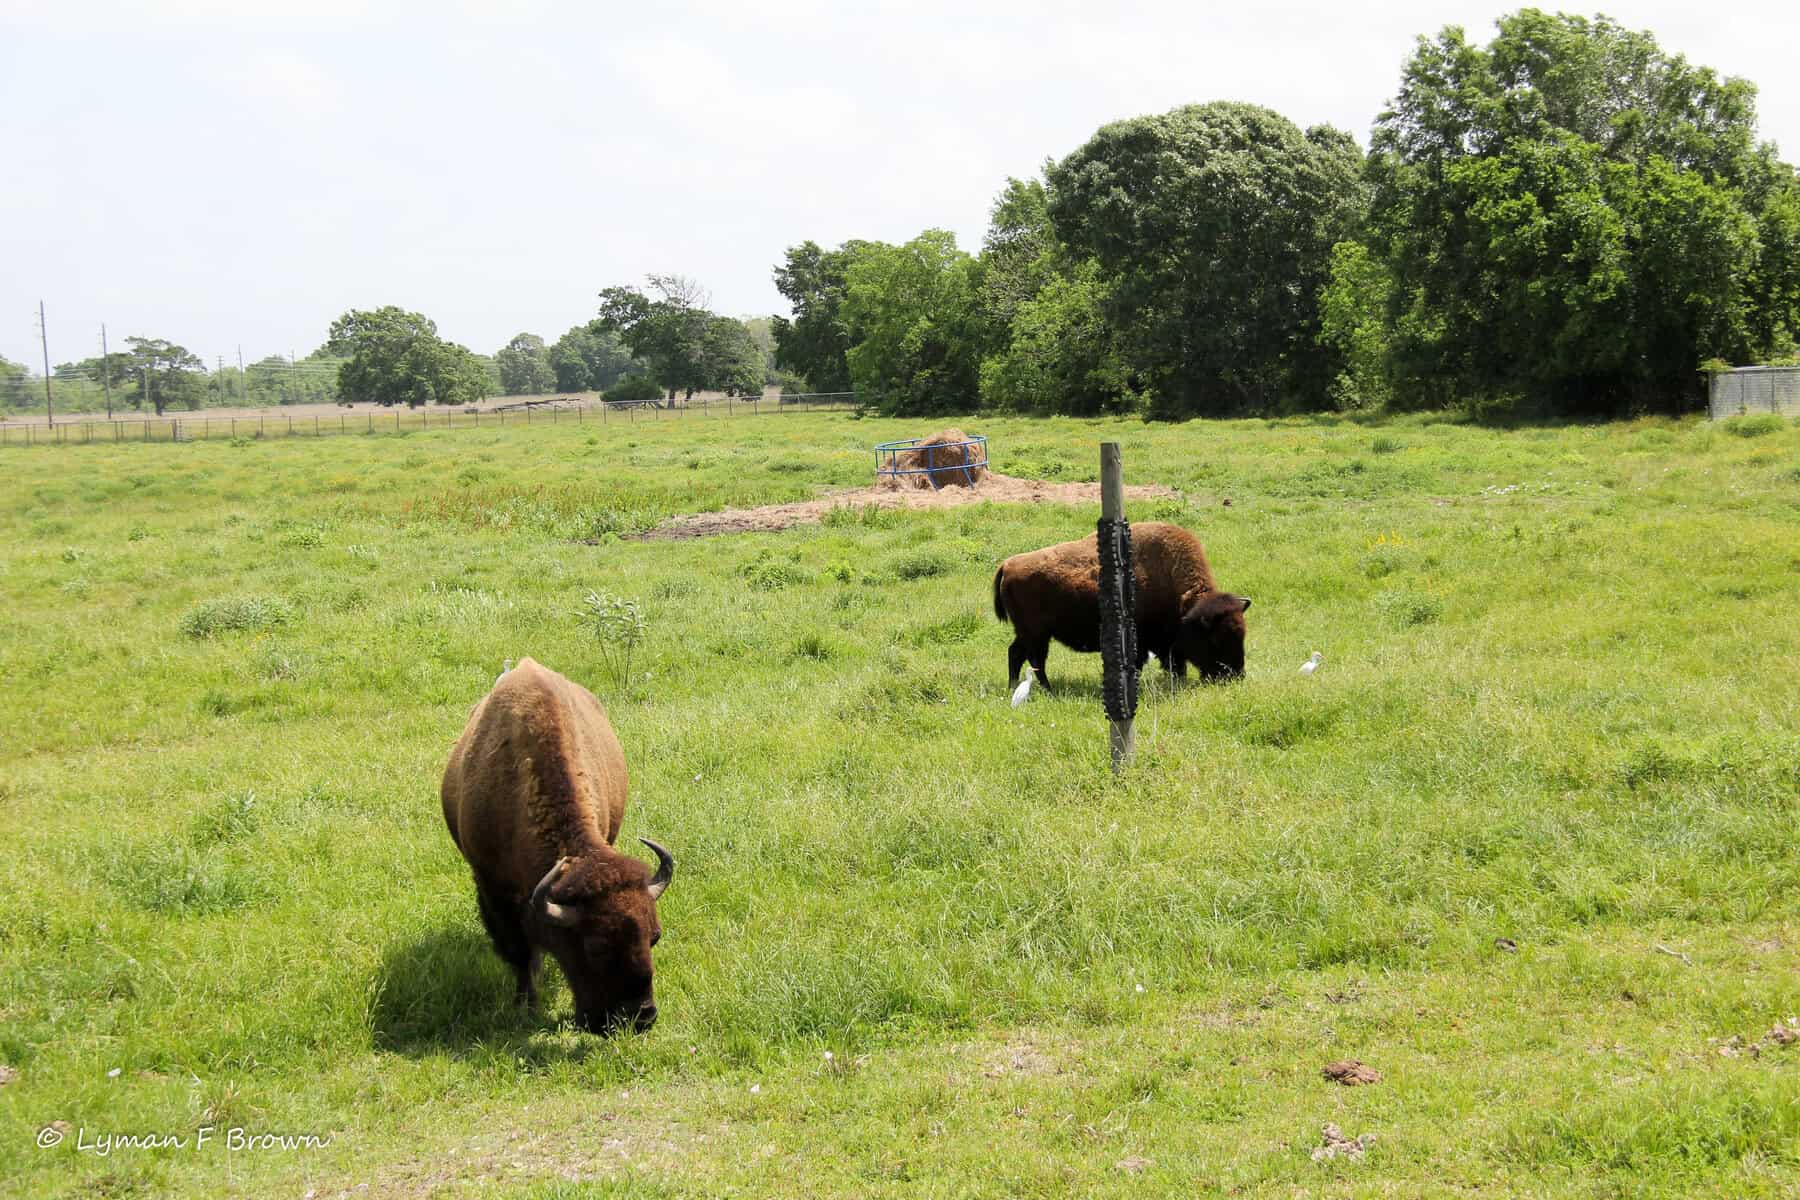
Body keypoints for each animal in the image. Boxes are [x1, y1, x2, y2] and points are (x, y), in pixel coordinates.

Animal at [441, 657, 673, 1034]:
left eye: (654, 936)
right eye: (596, 947)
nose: (641, 1017)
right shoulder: (492, 888)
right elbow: (518, 950)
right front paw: (526, 1005)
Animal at [993, 521, 1250, 687]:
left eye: (1242, 635)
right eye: (1215, 639)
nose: (1235, 676)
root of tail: (1008, 564)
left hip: (1029, 633)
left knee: (1016, 653)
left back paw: (1015, 686)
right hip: (1037, 634)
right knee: (1035, 659)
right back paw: (1048, 689)